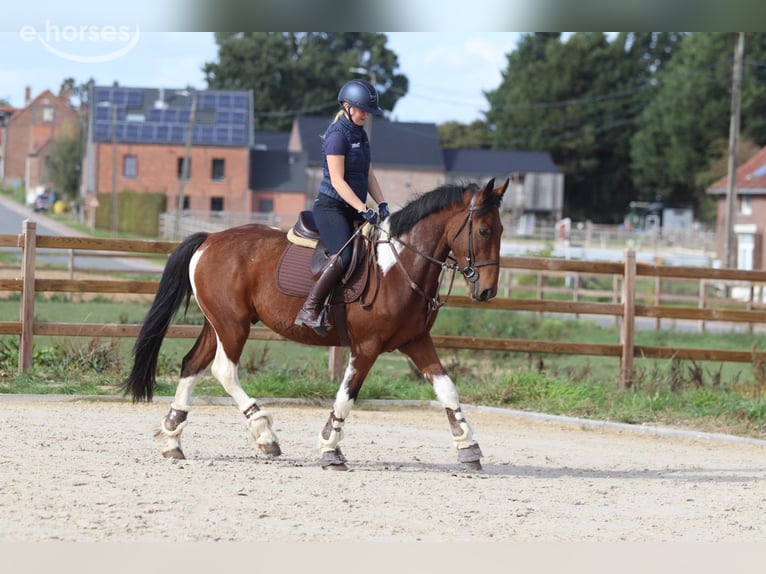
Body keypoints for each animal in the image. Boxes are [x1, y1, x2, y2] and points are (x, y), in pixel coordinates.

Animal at [123, 178, 508, 471]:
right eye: (483, 230)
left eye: (501, 229)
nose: (487, 291)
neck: (398, 265)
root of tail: (210, 239)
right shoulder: (366, 347)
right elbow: (346, 397)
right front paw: (330, 449)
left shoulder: (416, 340)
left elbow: (447, 388)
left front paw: (468, 447)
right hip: (233, 326)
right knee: (224, 370)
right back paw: (264, 434)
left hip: (216, 324)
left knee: (192, 365)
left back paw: (173, 439)